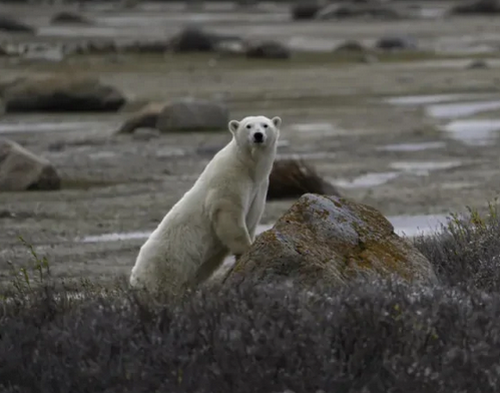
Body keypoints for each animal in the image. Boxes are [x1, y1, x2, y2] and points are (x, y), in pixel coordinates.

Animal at [129, 115, 282, 298]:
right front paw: (247, 248)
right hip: (163, 265)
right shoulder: (229, 178)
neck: (248, 165)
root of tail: (135, 277)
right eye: (248, 126)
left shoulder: (260, 187)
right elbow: (229, 212)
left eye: (265, 125)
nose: (258, 136)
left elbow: (251, 217)